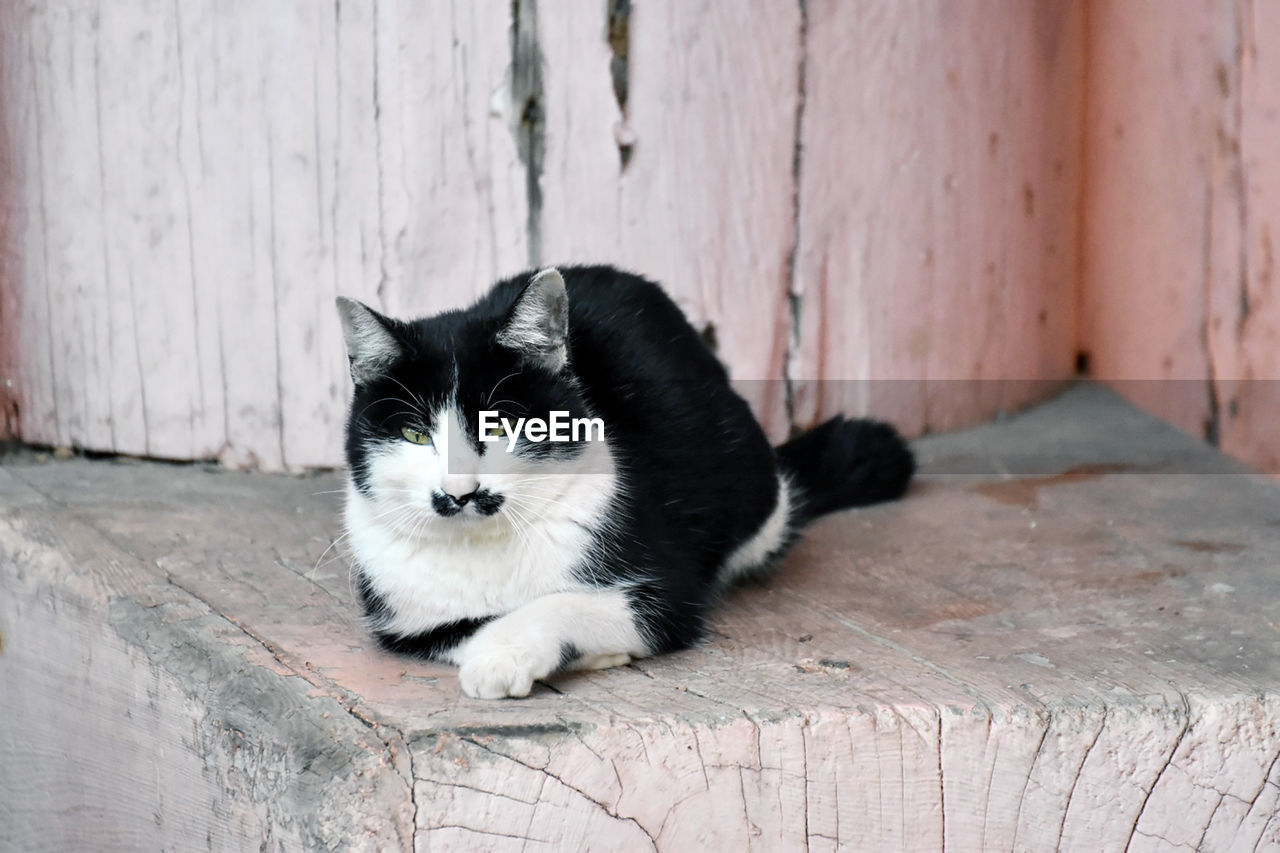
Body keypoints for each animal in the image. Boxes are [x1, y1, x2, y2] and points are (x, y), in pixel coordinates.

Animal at [330, 266, 911, 696]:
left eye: (500, 424)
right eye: (414, 433)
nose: (460, 492)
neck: (485, 551)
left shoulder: (668, 591)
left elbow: (563, 603)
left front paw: (506, 656)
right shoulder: (406, 621)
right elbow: (463, 627)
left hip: (755, 494)